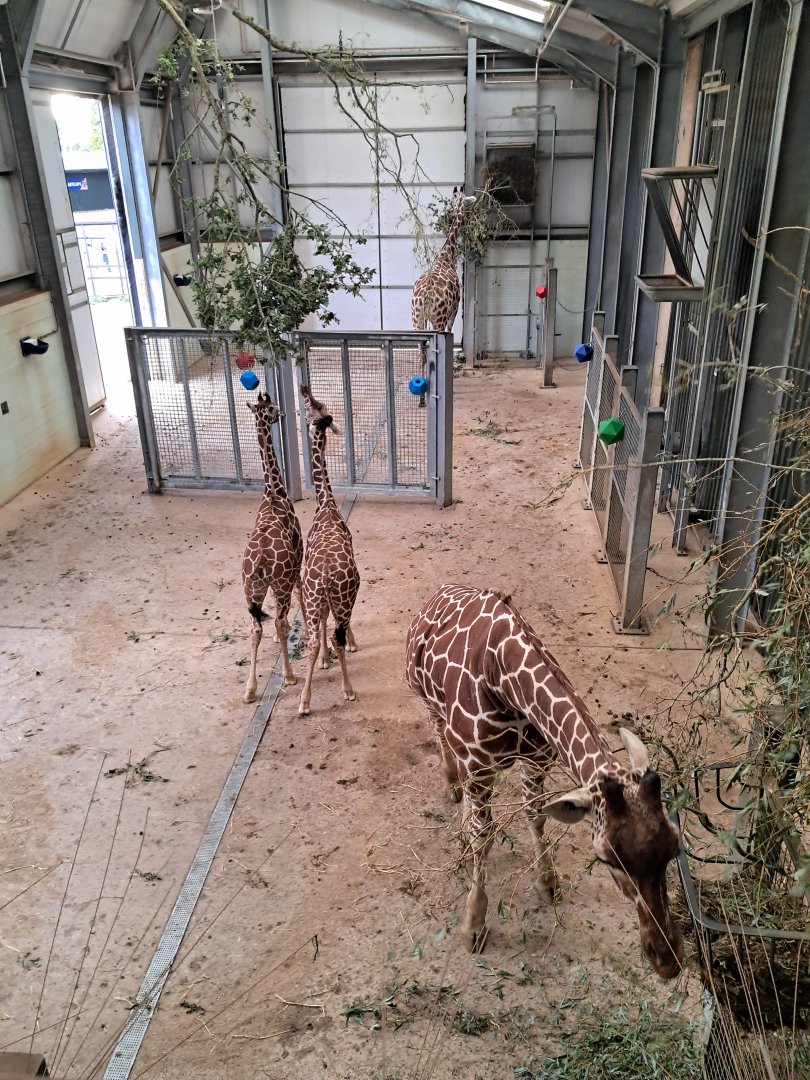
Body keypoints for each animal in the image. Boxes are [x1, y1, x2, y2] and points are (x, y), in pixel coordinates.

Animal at [405, 584, 683, 978]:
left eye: (674, 847)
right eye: (604, 858)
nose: (667, 960)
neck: (503, 679)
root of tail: (437, 594)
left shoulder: (537, 759)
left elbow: (535, 815)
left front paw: (547, 884)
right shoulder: (479, 765)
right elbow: (484, 837)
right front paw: (473, 926)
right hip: (429, 703)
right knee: (442, 741)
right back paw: (452, 791)